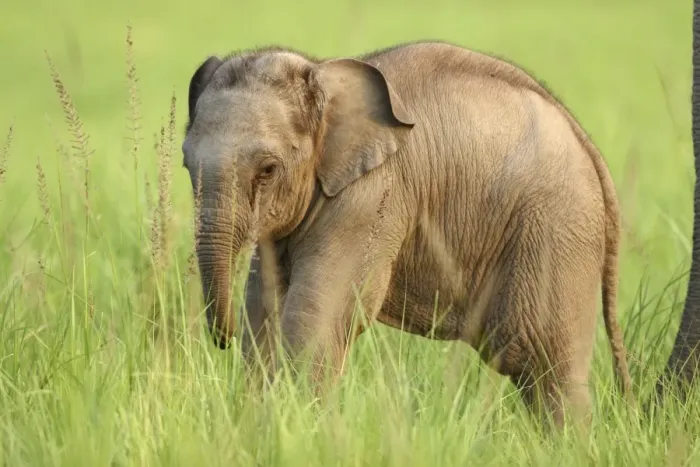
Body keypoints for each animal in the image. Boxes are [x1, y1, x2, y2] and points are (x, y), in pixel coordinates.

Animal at [181, 40, 633, 427]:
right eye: (186, 165)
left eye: (268, 169)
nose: (221, 338)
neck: (323, 73)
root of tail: (586, 143)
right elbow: (263, 309)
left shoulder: (372, 196)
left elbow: (314, 315)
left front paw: (298, 427)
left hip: (557, 230)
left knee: (546, 365)